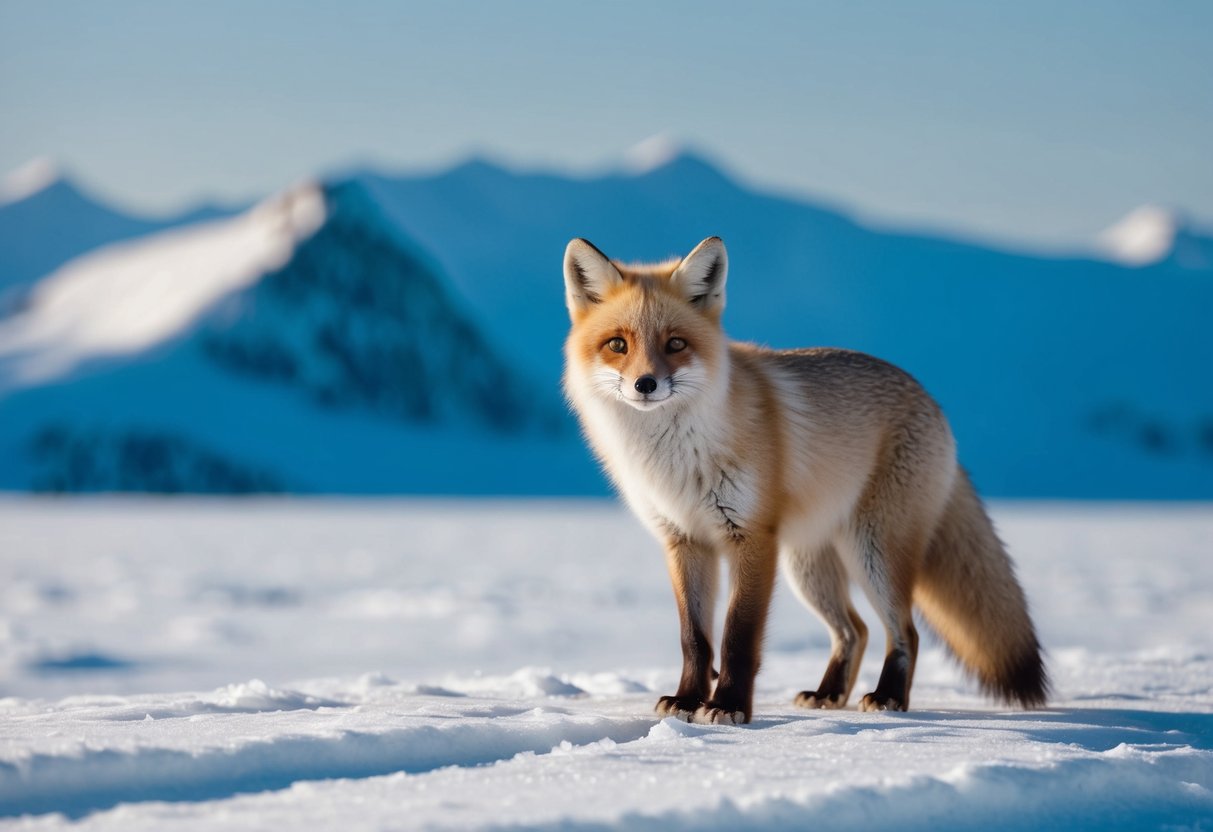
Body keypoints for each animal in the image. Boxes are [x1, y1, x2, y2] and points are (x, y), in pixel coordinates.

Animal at [562, 235, 1048, 725]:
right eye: (618, 344)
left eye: (676, 343)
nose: (645, 384)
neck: (676, 459)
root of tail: (932, 401)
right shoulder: (684, 540)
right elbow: (694, 639)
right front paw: (686, 701)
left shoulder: (751, 537)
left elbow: (738, 637)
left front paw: (728, 706)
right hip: (807, 565)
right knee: (855, 630)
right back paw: (829, 694)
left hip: (872, 551)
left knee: (904, 630)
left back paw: (889, 697)